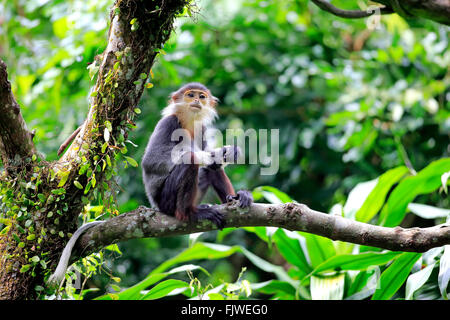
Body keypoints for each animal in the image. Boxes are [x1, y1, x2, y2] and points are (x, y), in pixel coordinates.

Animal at [142, 82, 253, 228]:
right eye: (190, 95)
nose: (196, 100)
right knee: (190, 160)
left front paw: (229, 151)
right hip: (166, 202)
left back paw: (234, 199)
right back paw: (190, 214)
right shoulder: (168, 122)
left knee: (210, 170)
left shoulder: (202, 129)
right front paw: (208, 157)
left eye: (201, 96)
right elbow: (151, 161)